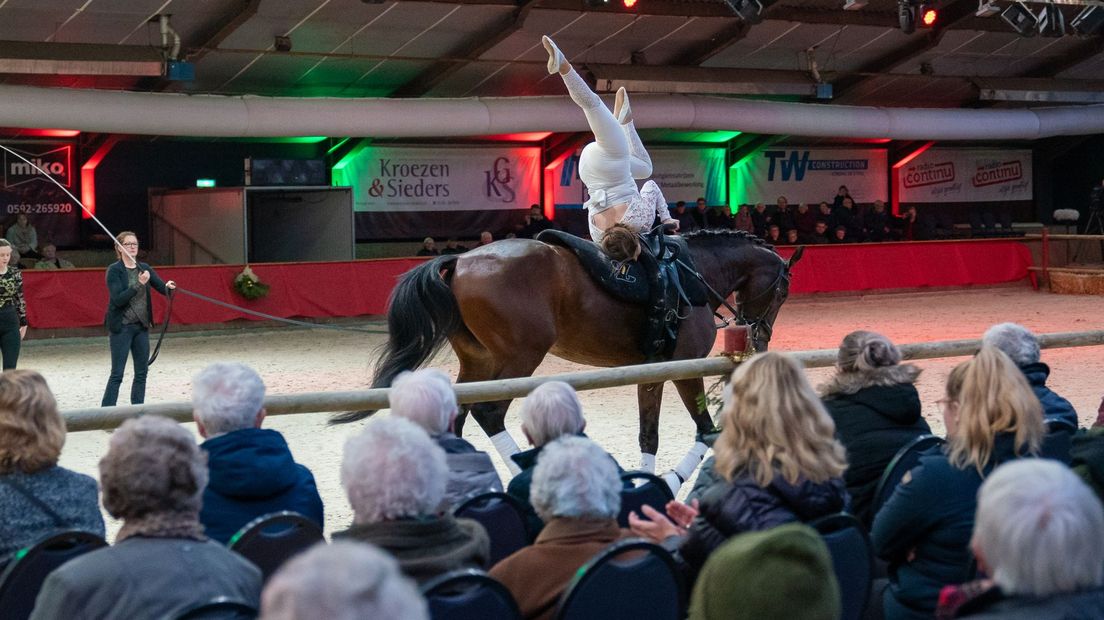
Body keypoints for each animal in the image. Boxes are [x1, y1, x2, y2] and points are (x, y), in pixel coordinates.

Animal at [333, 229, 803, 461]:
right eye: (782, 291)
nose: (761, 336)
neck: (692, 274)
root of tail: (462, 259)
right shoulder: (684, 367)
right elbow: (707, 432)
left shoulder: (651, 371)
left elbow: (649, 436)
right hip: (519, 358)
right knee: (489, 414)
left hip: (479, 363)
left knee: (460, 416)